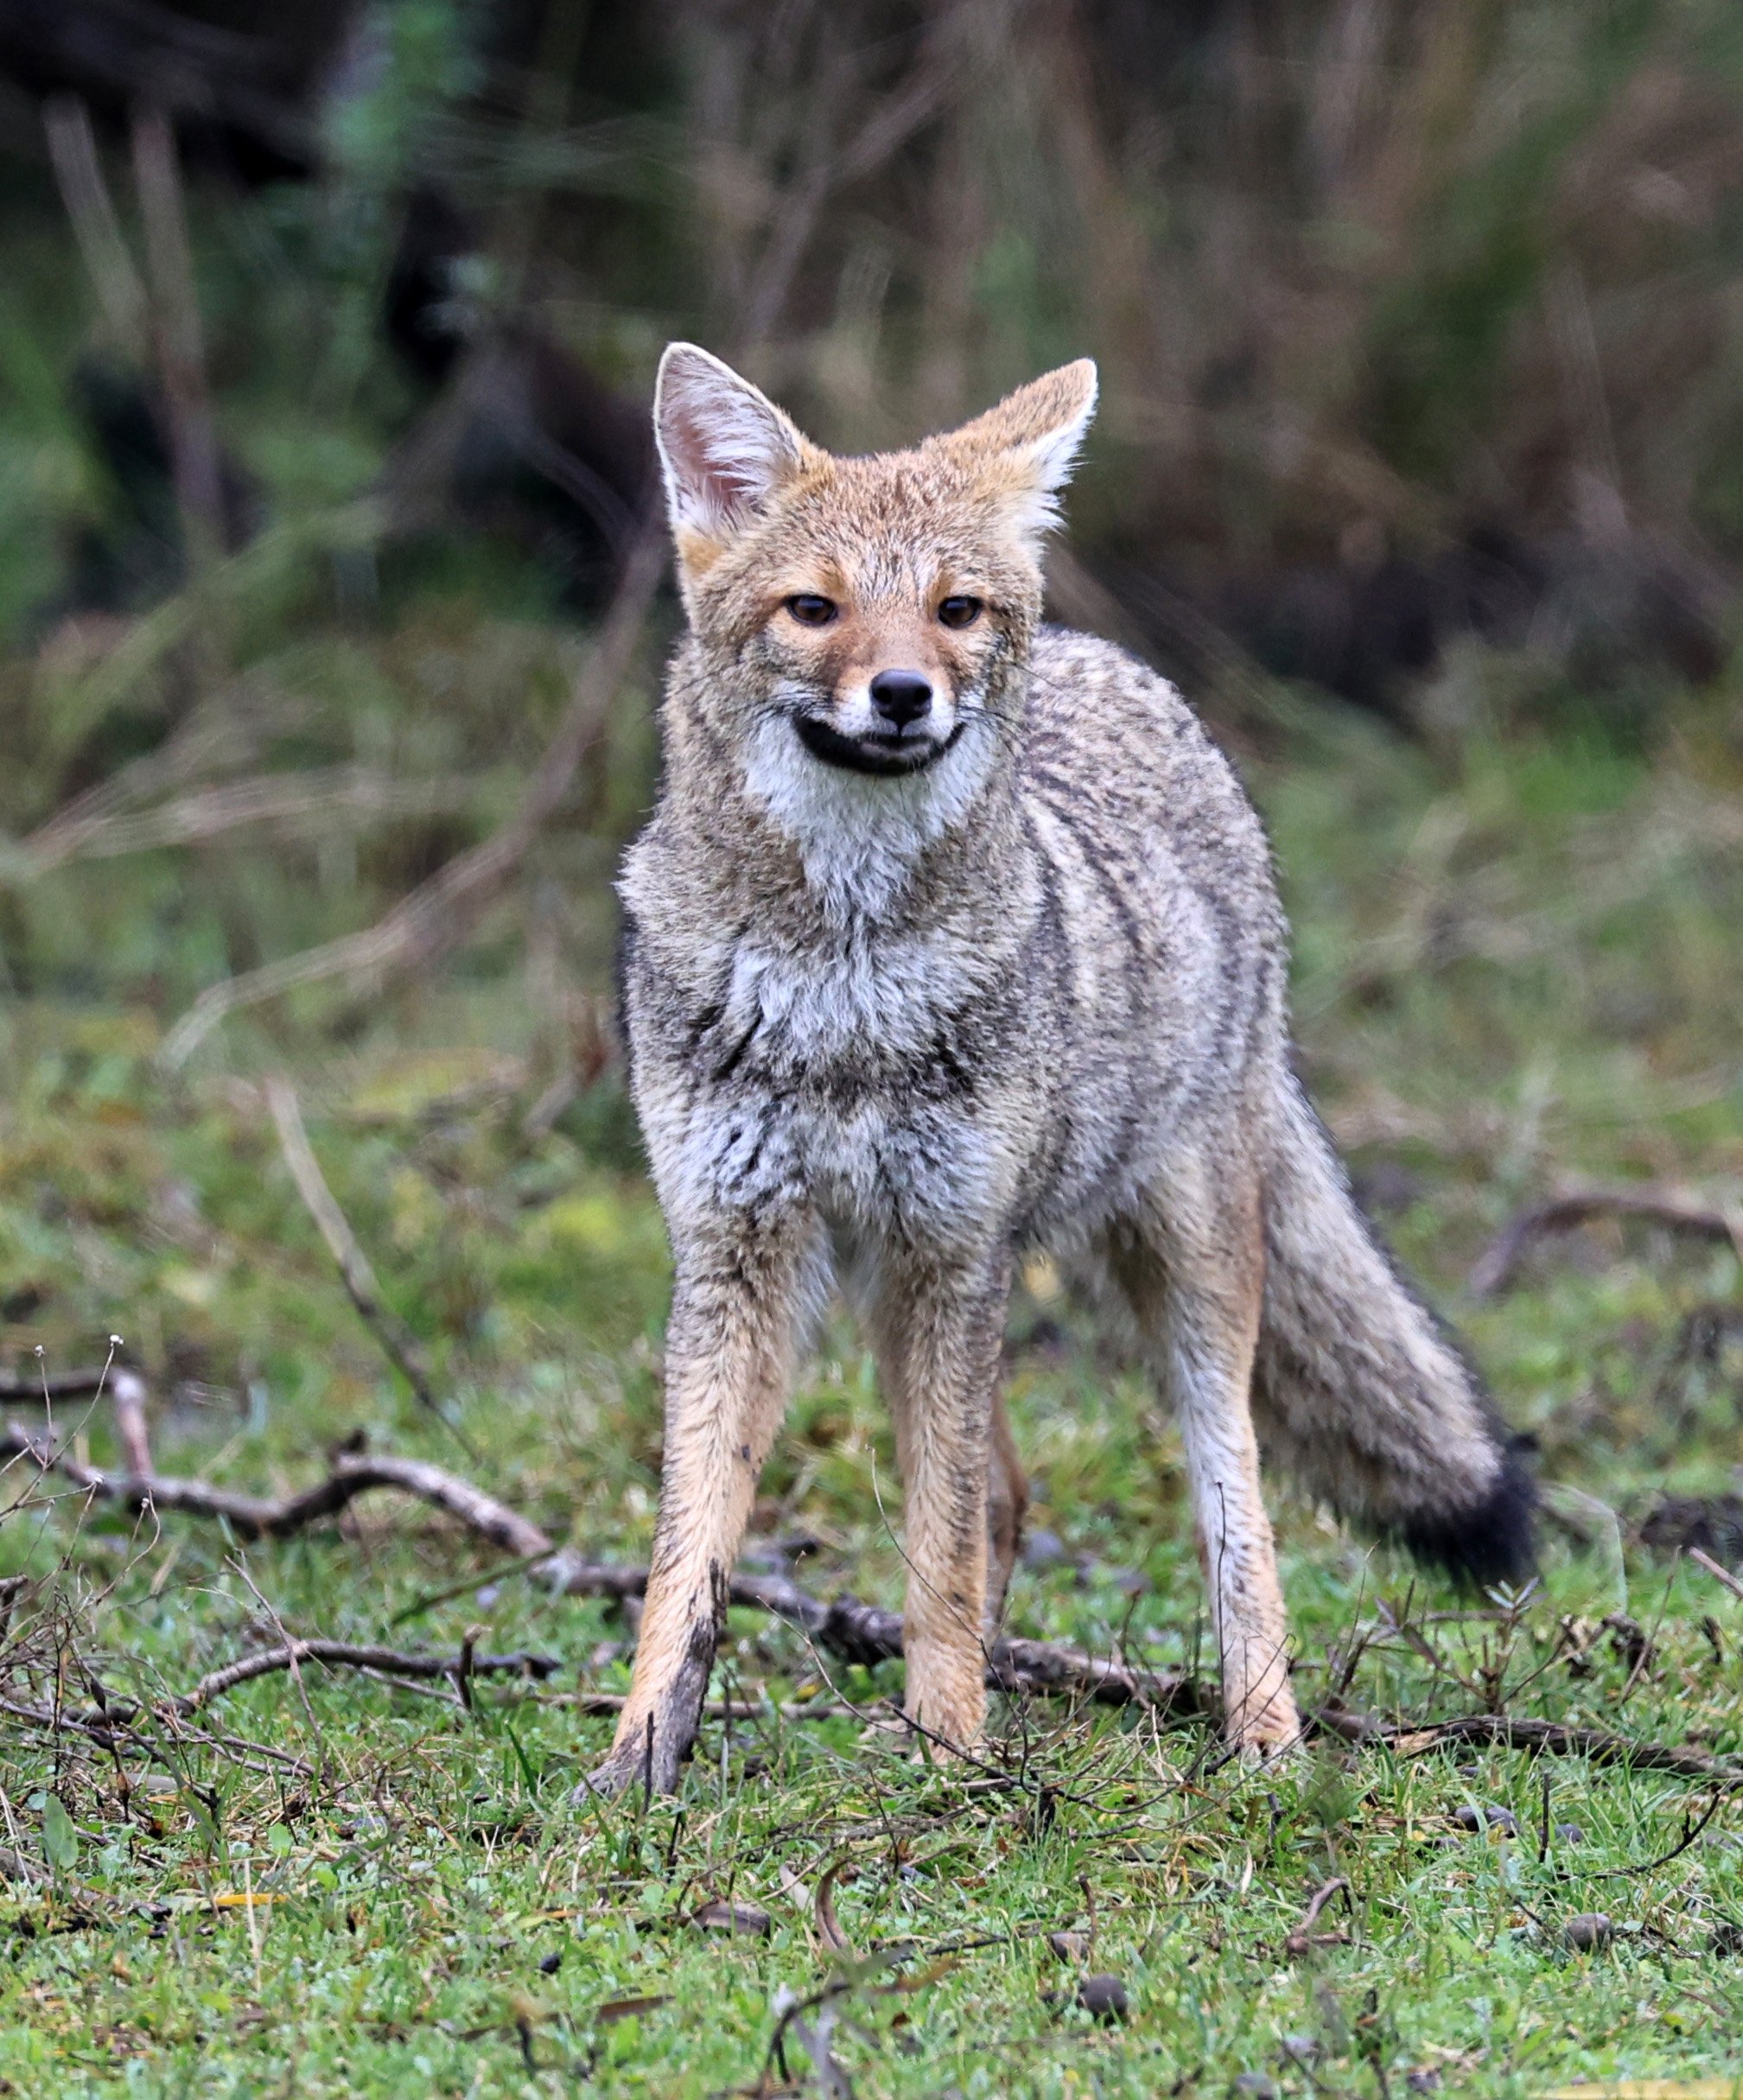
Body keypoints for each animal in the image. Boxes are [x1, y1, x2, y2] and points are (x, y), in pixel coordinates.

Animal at [584, 342, 1536, 1797]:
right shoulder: (735, 1249)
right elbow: (688, 1553)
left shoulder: (953, 1252)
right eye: (815, 610)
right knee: (1011, 1498)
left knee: (1232, 1507)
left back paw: (1264, 1737)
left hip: (1173, 1276)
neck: (844, 987)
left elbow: (938, 1552)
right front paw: (641, 1759)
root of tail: (1125, 669)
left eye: (953, 610)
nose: (904, 694)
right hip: (900, 1290)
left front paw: (950, 1755)